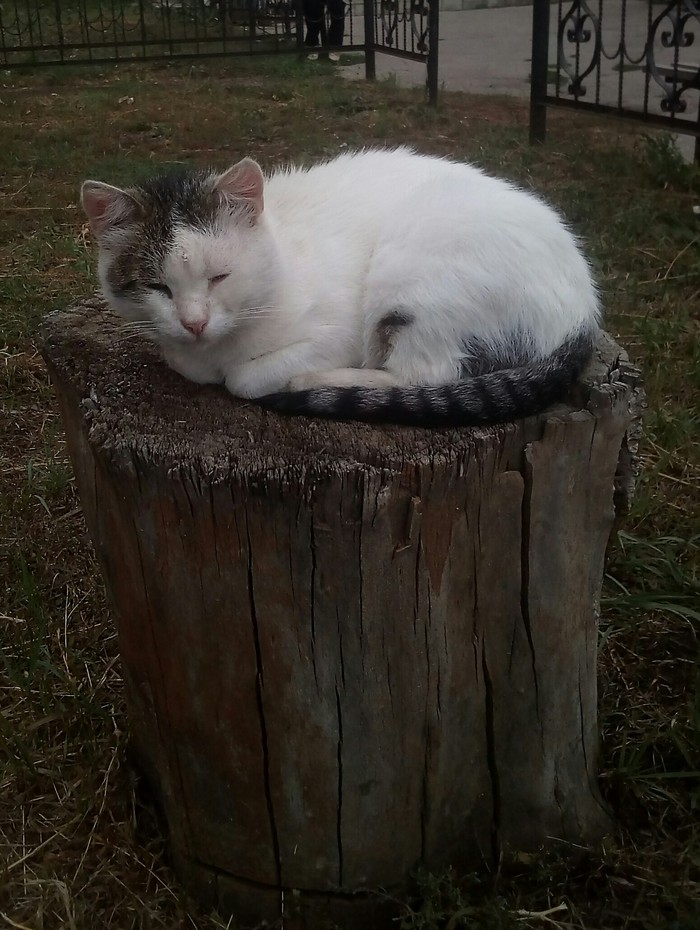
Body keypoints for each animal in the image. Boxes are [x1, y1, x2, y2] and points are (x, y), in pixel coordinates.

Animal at [80, 149, 596, 428]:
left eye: (219, 277)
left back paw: (319, 382)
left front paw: (263, 375)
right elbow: (185, 362)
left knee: (427, 375)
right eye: (156, 286)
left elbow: (242, 379)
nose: (194, 322)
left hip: (414, 273)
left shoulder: (338, 334)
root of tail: (585, 311)